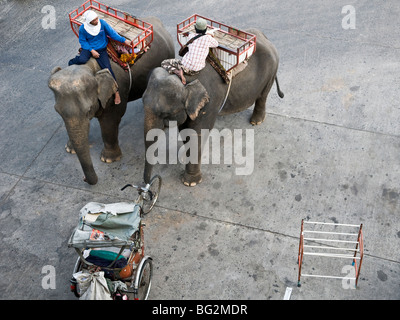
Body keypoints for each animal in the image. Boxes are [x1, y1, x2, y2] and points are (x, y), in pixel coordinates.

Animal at [49, 17, 174, 185]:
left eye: (88, 110)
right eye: (57, 111)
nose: (83, 179)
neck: (90, 66)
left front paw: (108, 160)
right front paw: (70, 149)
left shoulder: (116, 90)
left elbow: (110, 120)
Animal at [142, 29, 282, 188]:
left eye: (166, 114)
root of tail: (264, 38)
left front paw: (190, 182)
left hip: (271, 73)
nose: (148, 186)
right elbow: (185, 131)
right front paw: (184, 158)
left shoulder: (209, 104)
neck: (184, 79)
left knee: (262, 96)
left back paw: (256, 122)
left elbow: (197, 134)